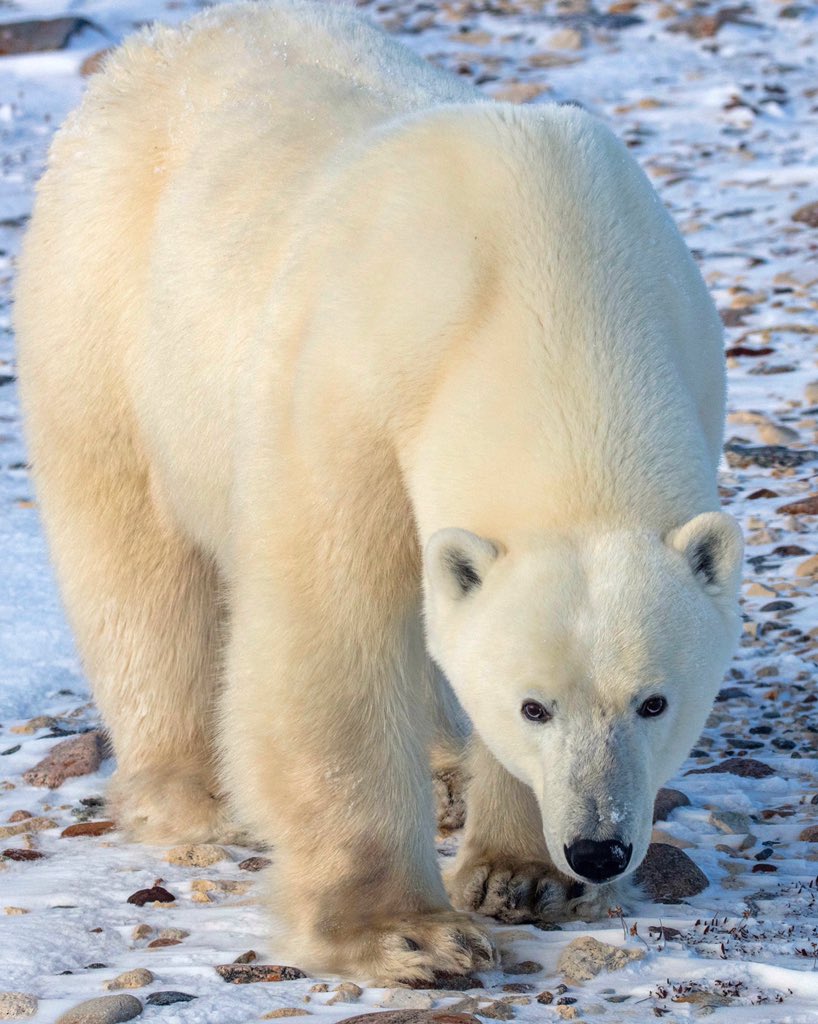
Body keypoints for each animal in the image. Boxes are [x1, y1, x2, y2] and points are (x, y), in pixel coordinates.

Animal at [14, 0, 741, 983]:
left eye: (655, 701)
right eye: (535, 705)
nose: (597, 846)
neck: (552, 276)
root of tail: (153, 49)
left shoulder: (691, 350)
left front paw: (523, 877)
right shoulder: (354, 381)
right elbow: (333, 626)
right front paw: (407, 932)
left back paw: (441, 771)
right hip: (104, 314)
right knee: (136, 562)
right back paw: (195, 791)